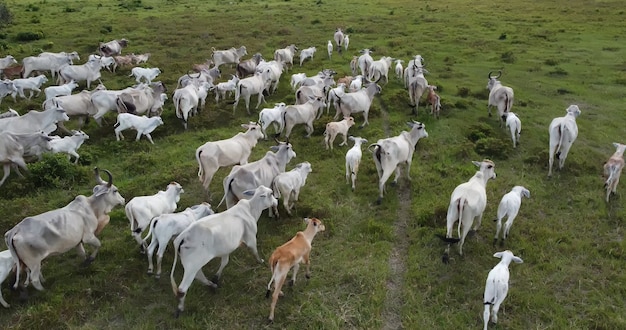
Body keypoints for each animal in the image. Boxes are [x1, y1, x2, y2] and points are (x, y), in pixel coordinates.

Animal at [171, 186, 278, 318]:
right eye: (271, 193)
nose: (276, 201)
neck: (251, 209)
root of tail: (183, 236)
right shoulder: (251, 237)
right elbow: (254, 250)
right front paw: (260, 261)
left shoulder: (226, 248)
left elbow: (224, 262)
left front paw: (216, 277)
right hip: (192, 264)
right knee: (182, 289)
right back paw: (180, 308)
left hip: (192, 264)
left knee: (199, 275)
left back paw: (212, 285)